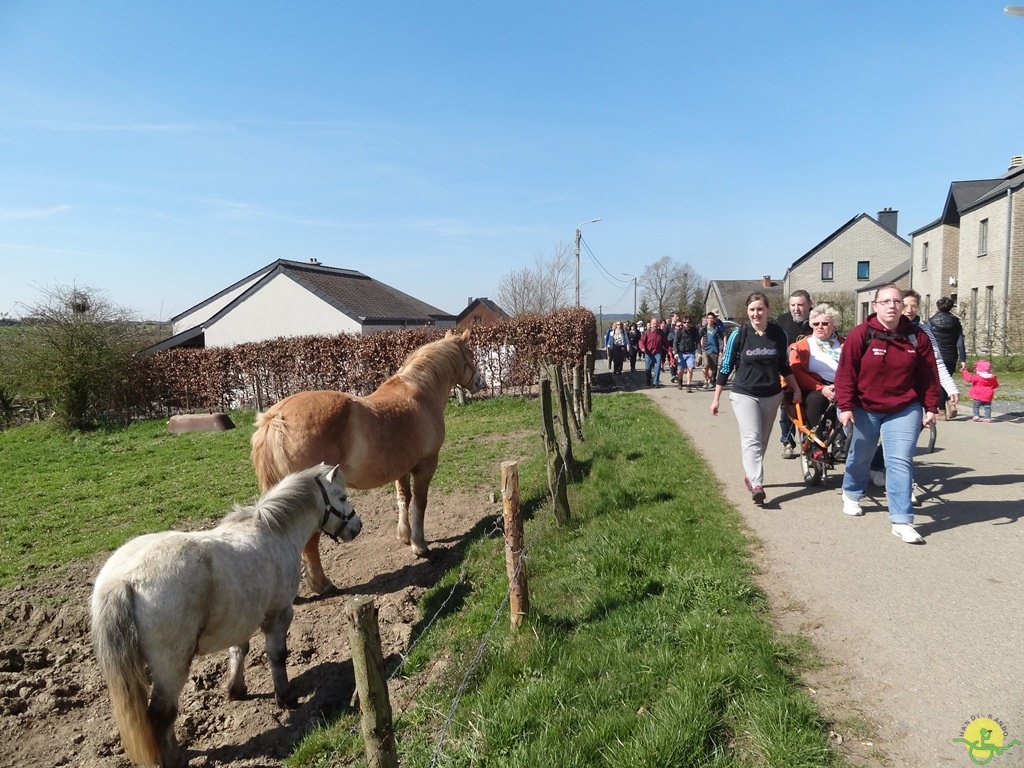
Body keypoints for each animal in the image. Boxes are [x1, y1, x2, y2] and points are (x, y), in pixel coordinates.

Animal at [91, 462, 364, 768]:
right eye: (342, 496)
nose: (357, 526)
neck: (275, 531)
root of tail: (123, 579)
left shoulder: (240, 619)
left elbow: (238, 650)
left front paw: (236, 688)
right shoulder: (280, 613)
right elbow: (277, 656)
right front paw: (285, 697)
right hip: (171, 667)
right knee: (161, 717)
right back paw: (174, 758)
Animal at [250, 327, 483, 593]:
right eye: (471, 354)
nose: (480, 382)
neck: (421, 392)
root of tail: (276, 418)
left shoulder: (401, 469)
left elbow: (403, 498)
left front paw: (404, 535)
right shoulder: (426, 465)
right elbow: (420, 503)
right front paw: (419, 544)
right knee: (310, 542)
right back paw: (322, 584)